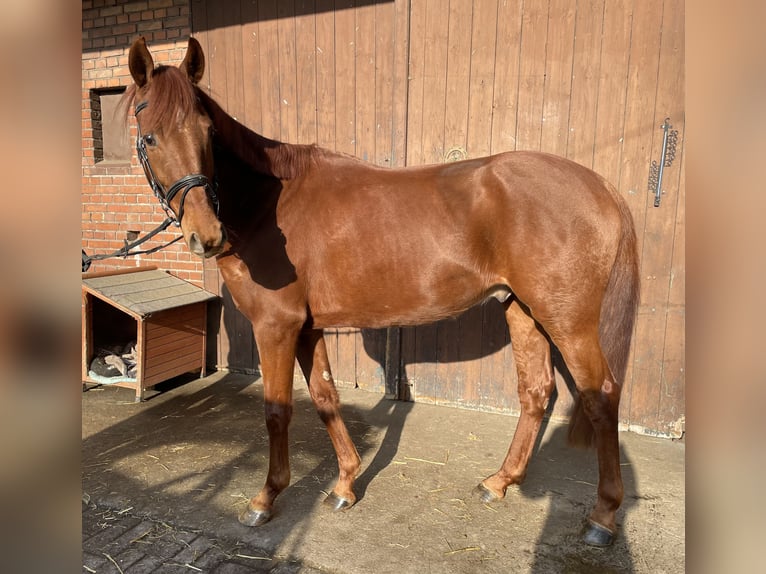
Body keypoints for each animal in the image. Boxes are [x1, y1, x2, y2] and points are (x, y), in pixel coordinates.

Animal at [126, 37, 640, 548]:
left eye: (207, 132)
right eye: (150, 137)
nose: (206, 236)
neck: (267, 204)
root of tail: (600, 185)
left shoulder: (276, 327)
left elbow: (277, 411)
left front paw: (265, 499)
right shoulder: (307, 329)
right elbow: (325, 398)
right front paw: (345, 484)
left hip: (568, 321)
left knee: (602, 396)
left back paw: (602, 516)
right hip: (523, 310)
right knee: (535, 391)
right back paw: (499, 482)